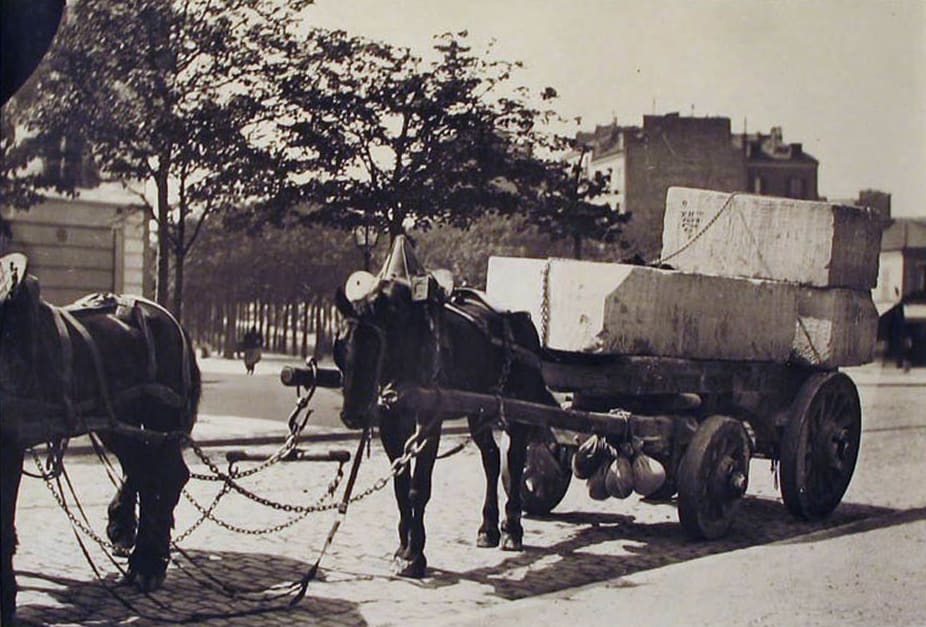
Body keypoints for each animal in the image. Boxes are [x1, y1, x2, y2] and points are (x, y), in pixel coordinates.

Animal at [0, 253, 200, 624]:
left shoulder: (9, 443)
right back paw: (126, 531)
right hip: (116, 419)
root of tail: (171, 320)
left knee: (167, 476)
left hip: (160, 416)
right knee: (142, 470)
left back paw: (147, 565)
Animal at [334, 239, 572, 580]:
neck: (410, 342)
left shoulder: (429, 421)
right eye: (340, 346)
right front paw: (402, 548)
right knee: (491, 458)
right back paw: (488, 527)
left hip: (518, 408)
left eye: (375, 346)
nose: (353, 416)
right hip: (479, 410)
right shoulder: (392, 421)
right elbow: (400, 485)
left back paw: (512, 528)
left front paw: (415, 555)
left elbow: (418, 488)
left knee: (514, 461)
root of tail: (525, 322)